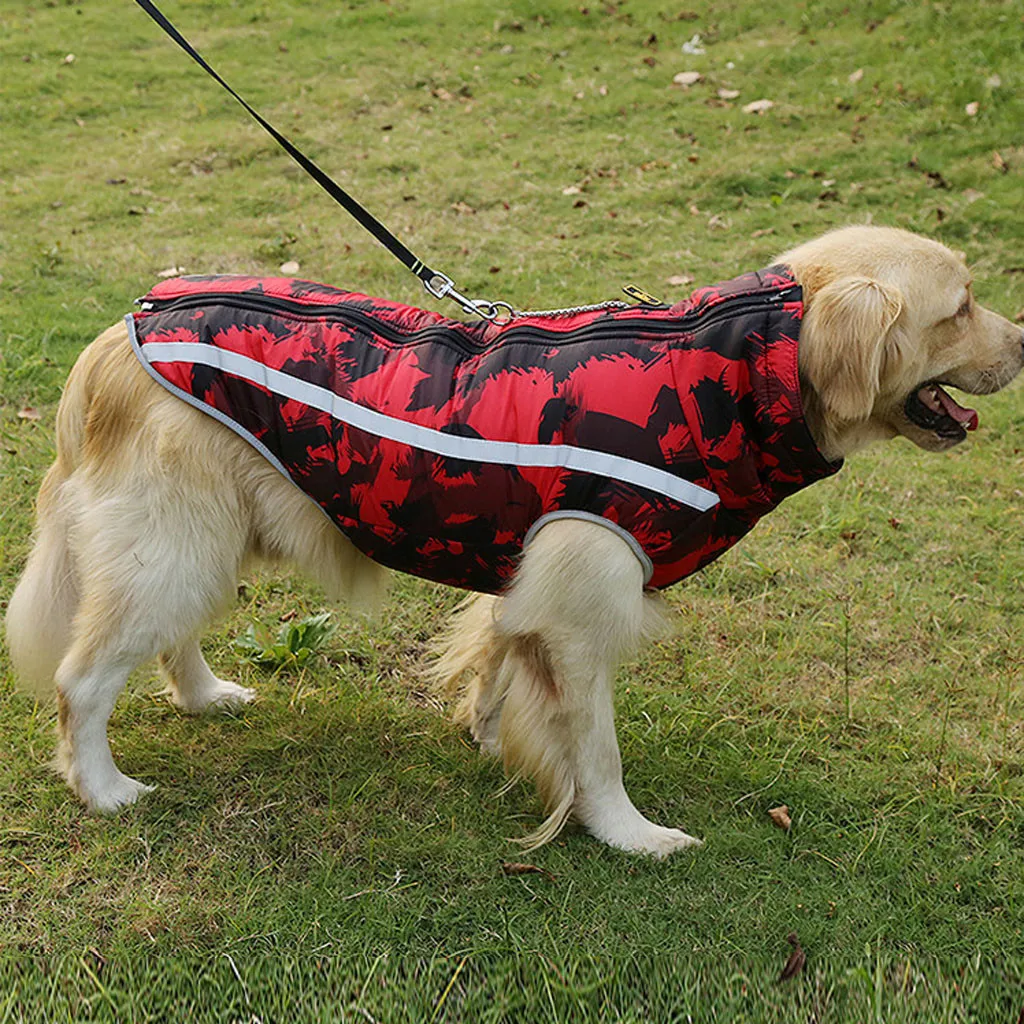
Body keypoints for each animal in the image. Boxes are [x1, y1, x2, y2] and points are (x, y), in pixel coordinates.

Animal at [8, 226, 1024, 856]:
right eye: (960, 306)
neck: (732, 372)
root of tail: (116, 335)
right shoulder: (582, 601)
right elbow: (596, 748)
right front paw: (628, 836)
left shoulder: (528, 581)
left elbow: (499, 663)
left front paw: (490, 738)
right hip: (172, 545)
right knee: (82, 680)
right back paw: (103, 788)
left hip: (198, 543)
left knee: (166, 641)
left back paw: (203, 696)